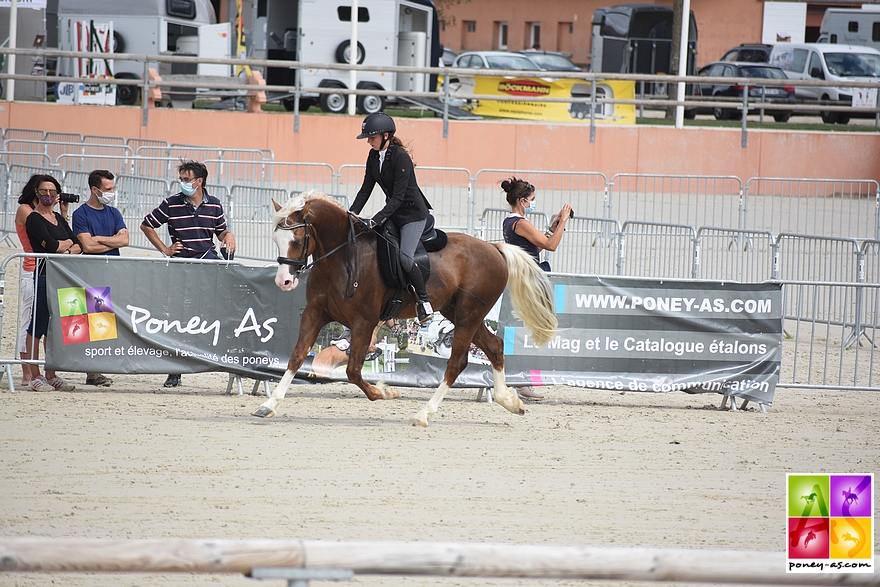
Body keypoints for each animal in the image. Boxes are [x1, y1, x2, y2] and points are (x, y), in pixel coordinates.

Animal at [254, 193, 556, 428]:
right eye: (275, 239)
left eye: (297, 239)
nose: (284, 281)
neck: (342, 257)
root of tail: (494, 248)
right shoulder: (315, 313)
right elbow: (297, 357)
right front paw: (269, 404)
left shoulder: (364, 322)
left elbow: (353, 371)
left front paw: (385, 392)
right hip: (459, 313)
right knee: (494, 346)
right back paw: (510, 401)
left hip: (468, 316)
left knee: (457, 362)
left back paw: (424, 414)